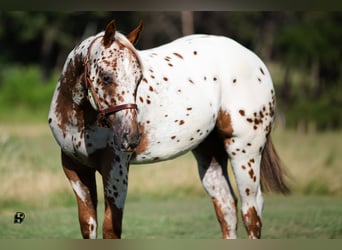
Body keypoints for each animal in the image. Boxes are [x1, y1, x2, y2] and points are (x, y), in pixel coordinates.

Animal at [48, 19, 288, 238]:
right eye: (106, 77)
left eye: (138, 79)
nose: (131, 137)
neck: (79, 120)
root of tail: (254, 60)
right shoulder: (75, 169)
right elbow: (88, 226)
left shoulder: (115, 169)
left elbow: (110, 230)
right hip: (209, 154)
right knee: (226, 207)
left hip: (244, 152)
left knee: (251, 213)